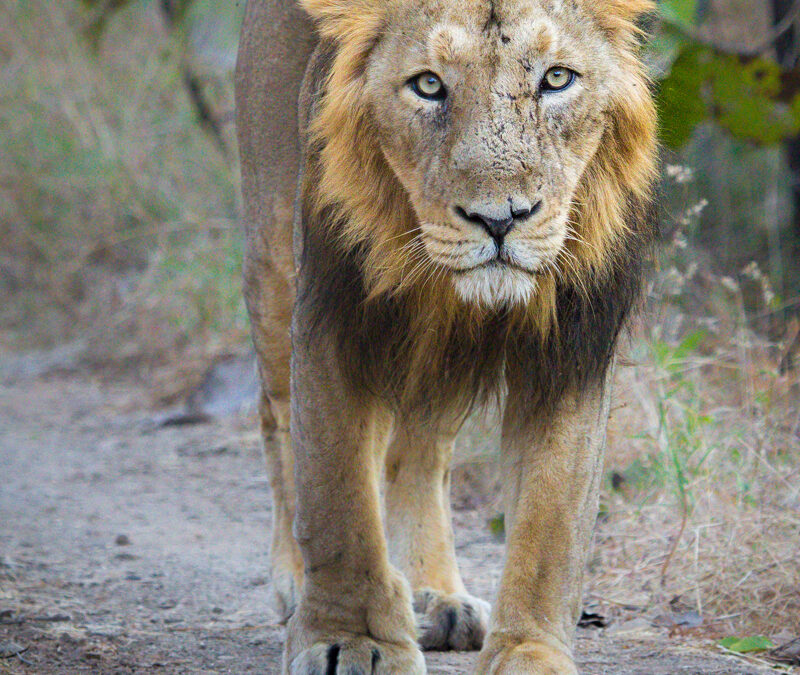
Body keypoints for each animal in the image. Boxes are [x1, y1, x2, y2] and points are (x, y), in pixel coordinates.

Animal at [233, 0, 656, 672]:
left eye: (556, 79)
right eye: (429, 85)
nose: (501, 219)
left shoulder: (571, 349)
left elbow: (551, 526)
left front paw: (530, 653)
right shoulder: (335, 315)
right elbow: (337, 498)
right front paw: (350, 639)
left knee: (421, 451)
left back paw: (435, 597)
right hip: (272, 254)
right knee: (277, 417)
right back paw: (296, 581)